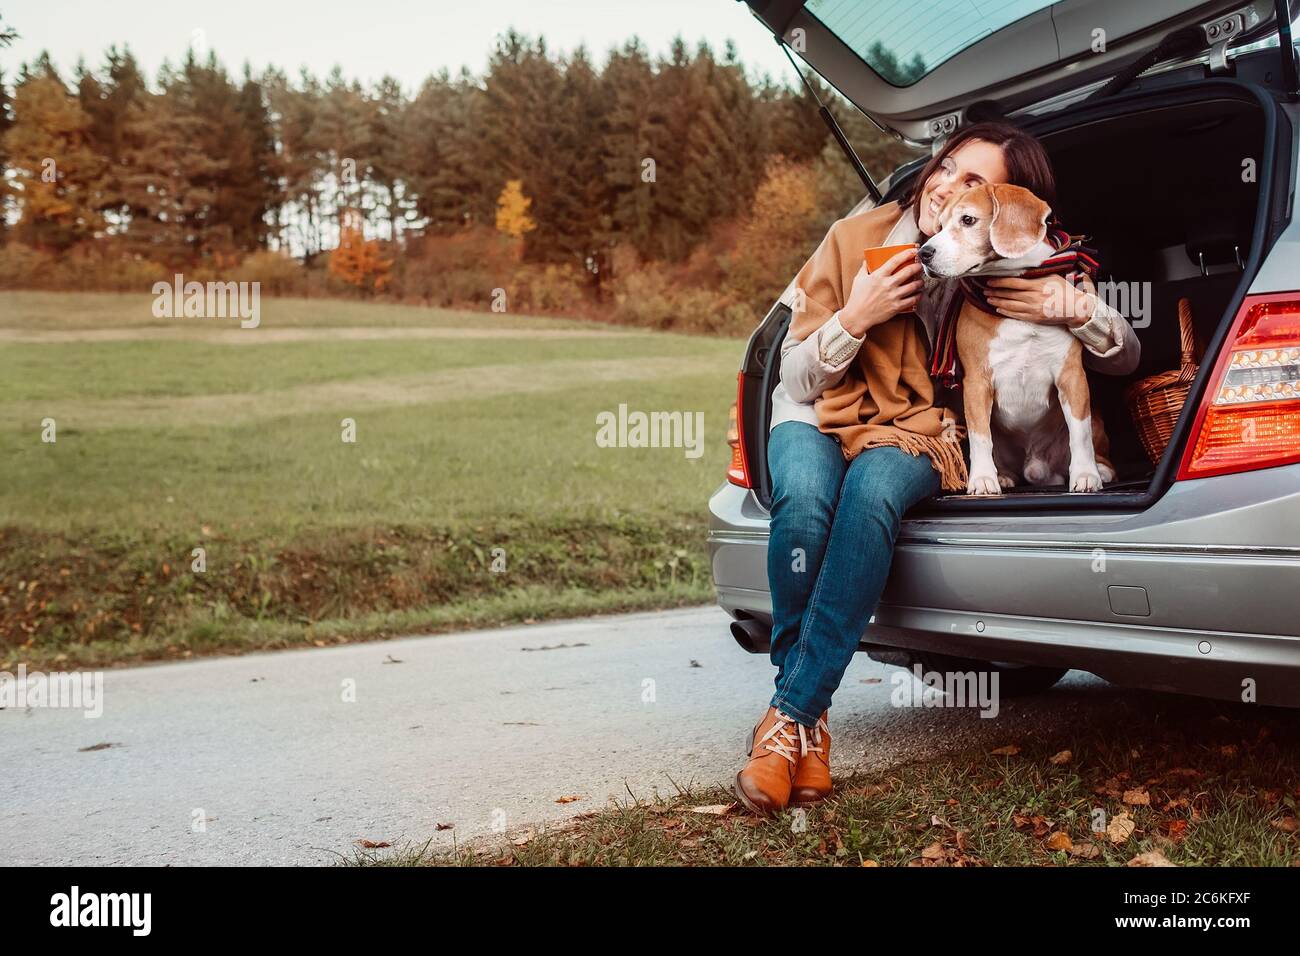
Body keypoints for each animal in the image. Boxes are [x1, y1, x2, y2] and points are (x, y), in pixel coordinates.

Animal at [915, 180, 1118, 494]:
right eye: (939, 225)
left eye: (968, 220)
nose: (923, 253)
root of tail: (1035, 465)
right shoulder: (976, 383)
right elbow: (980, 437)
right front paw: (983, 479)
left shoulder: (1071, 376)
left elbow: (1080, 434)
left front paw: (1086, 474)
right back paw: (1003, 475)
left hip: (1094, 417)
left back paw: (1103, 470)